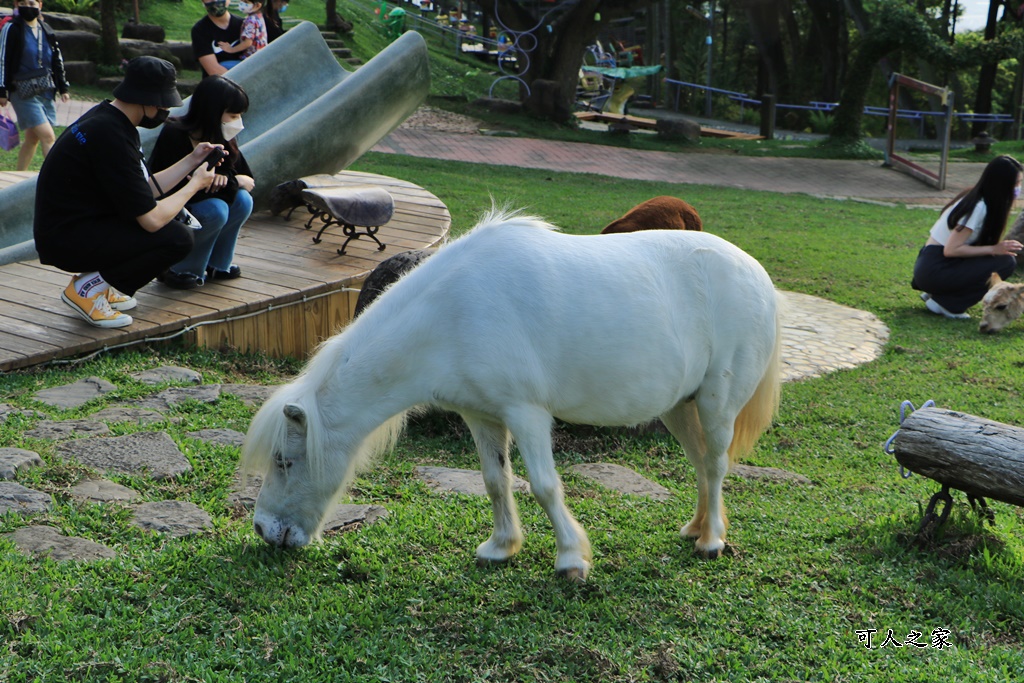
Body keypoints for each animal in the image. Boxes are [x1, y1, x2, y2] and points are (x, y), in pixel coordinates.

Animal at [241, 209, 782, 581]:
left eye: (284, 461)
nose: (264, 530)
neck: (453, 312)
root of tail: (758, 275)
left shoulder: (527, 414)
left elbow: (544, 485)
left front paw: (571, 559)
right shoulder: (481, 415)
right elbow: (495, 481)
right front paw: (501, 547)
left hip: (716, 403)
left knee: (716, 464)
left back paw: (711, 540)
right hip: (678, 408)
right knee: (700, 463)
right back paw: (696, 527)